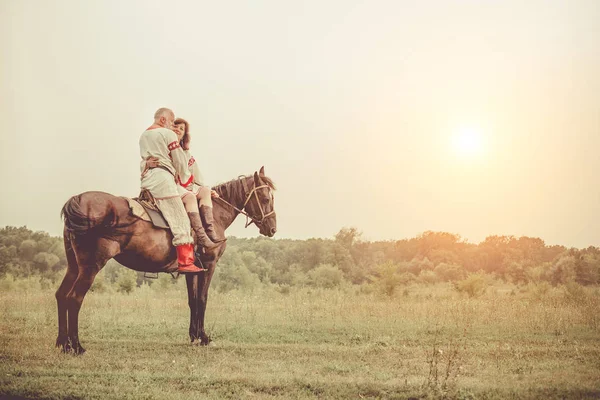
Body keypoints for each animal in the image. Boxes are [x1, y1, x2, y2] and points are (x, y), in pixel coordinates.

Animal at [56, 167, 276, 354]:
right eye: (265, 198)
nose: (272, 228)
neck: (213, 215)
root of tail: (78, 200)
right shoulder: (209, 265)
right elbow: (202, 299)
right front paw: (204, 337)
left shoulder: (192, 270)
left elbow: (193, 300)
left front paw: (194, 336)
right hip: (90, 267)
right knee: (74, 298)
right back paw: (76, 346)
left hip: (74, 266)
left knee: (61, 295)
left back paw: (63, 343)